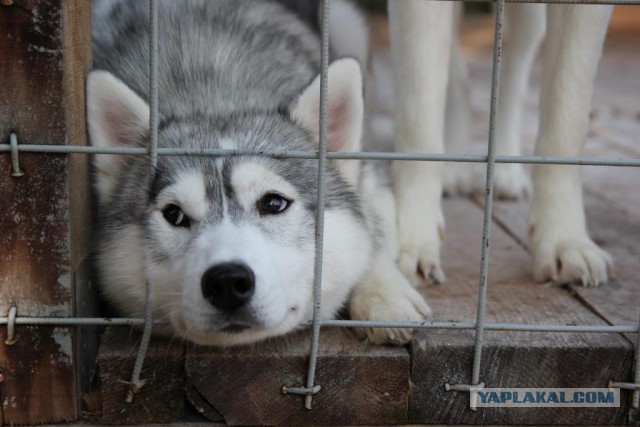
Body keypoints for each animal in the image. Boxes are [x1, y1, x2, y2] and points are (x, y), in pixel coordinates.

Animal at [89, 0, 430, 348]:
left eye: (273, 203)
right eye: (174, 214)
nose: (227, 281)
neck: (214, 97)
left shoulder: (371, 178)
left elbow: (374, 225)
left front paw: (384, 295)